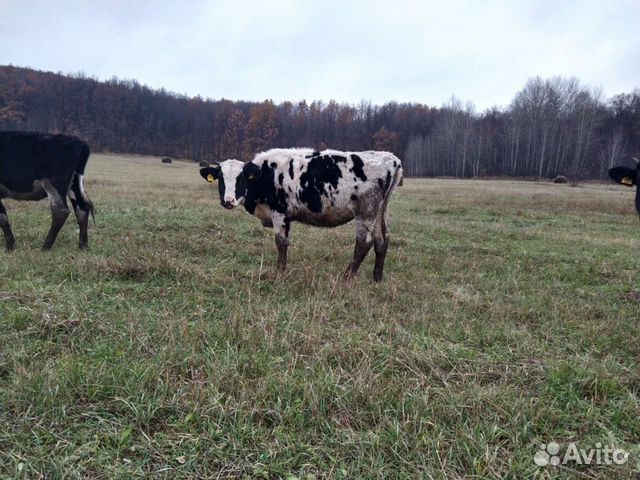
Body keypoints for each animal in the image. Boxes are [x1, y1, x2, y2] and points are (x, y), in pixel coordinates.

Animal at [200, 148, 400, 280]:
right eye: (220, 179)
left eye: (241, 178)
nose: (228, 201)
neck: (266, 174)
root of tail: (390, 158)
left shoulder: (280, 213)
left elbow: (281, 243)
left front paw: (279, 274)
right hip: (380, 211)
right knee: (382, 240)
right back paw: (376, 279)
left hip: (366, 211)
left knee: (364, 243)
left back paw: (347, 277)